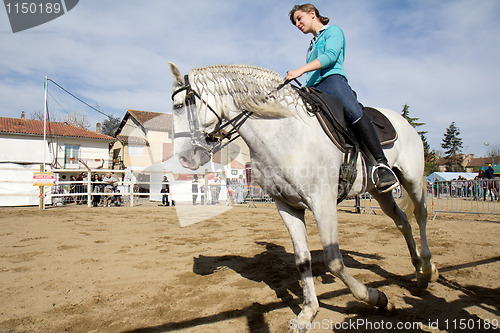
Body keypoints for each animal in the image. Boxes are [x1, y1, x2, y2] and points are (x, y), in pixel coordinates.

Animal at [168, 62, 438, 330]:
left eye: (179, 106)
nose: (185, 159)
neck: (283, 132)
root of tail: (404, 122)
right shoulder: (287, 206)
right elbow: (302, 260)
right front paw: (308, 312)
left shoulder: (323, 205)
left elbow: (334, 261)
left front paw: (376, 297)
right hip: (378, 191)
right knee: (402, 221)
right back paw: (420, 271)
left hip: (412, 179)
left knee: (421, 215)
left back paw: (427, 267)